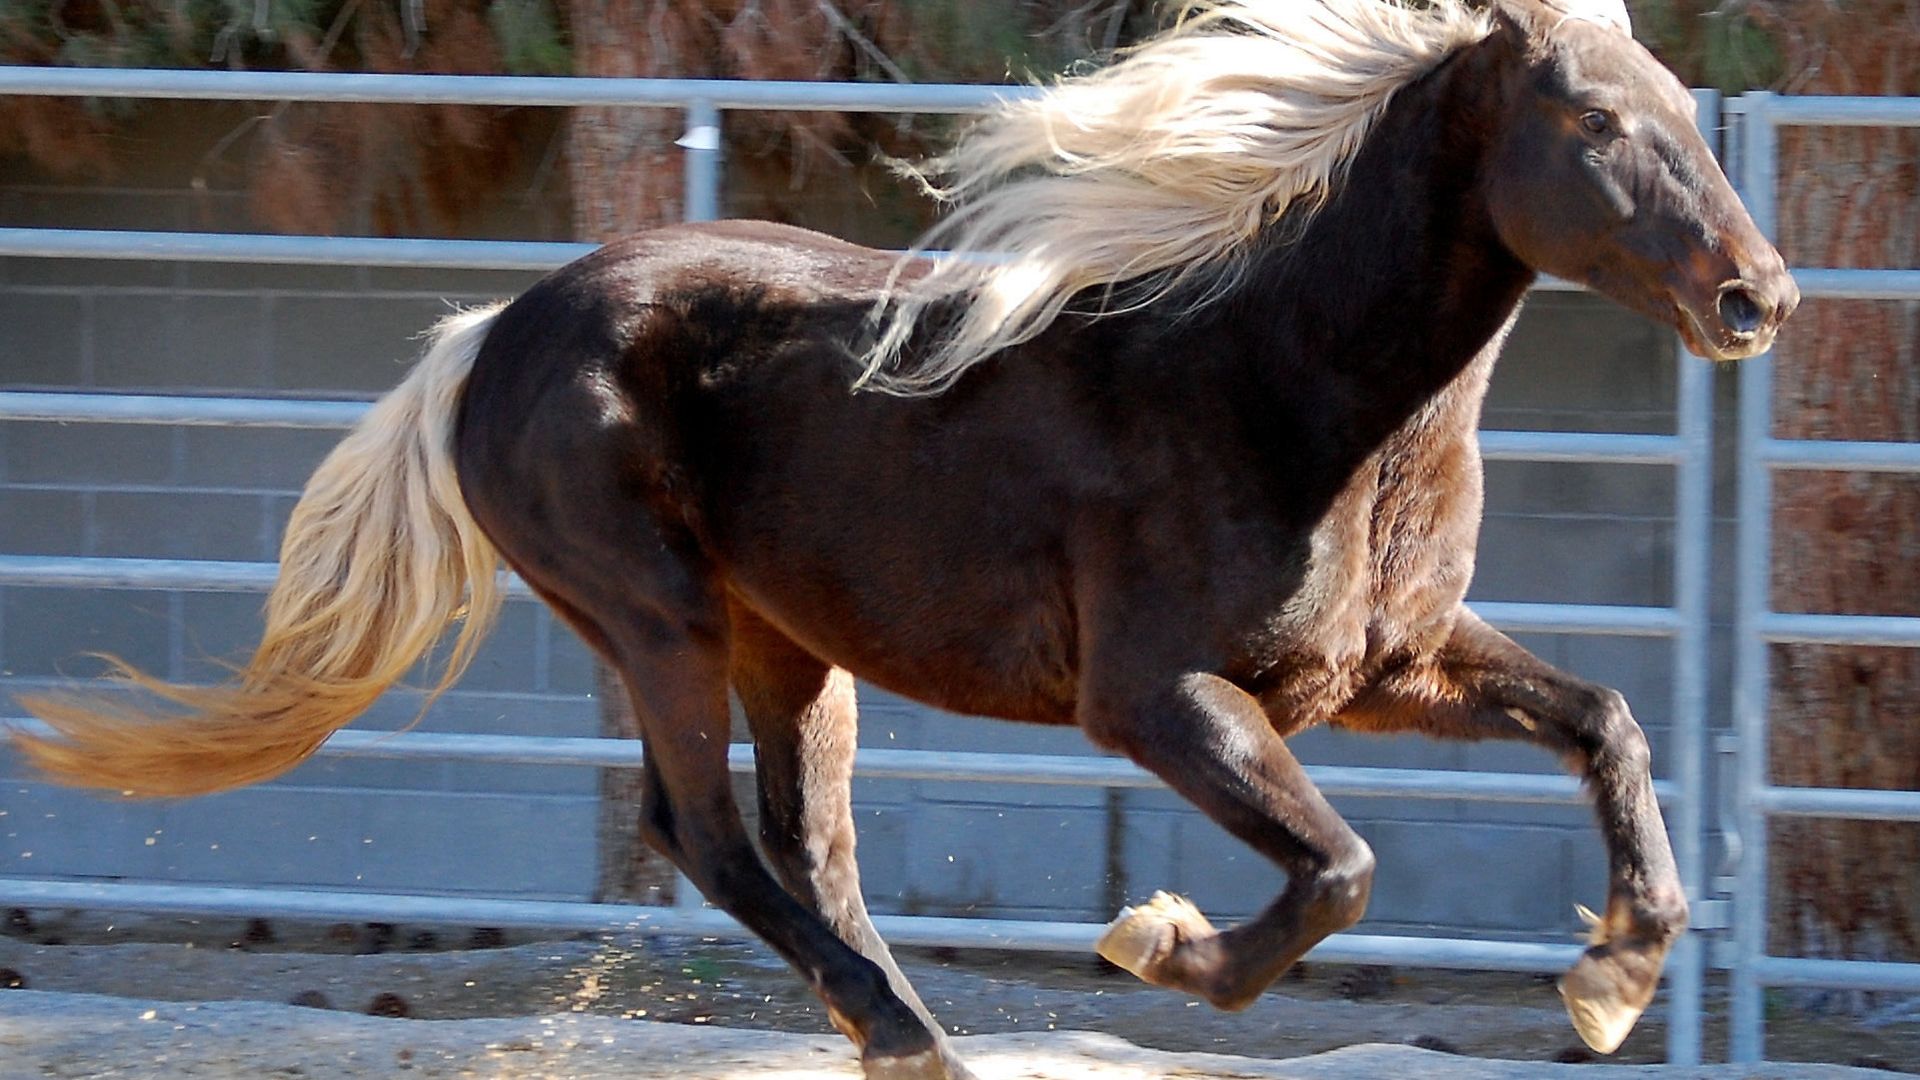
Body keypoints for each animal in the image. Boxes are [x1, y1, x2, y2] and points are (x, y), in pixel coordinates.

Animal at [13, 1, 1796, 1077]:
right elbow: (1343, 869)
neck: (1278, 378)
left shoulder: (1385, 670)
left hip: (789, 650)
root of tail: (485, 338)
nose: (1757, 297)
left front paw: (1614, 978)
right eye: (1592, 117)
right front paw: (1160, 947)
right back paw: (908, 1029)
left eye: (1677, 105)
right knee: (704, 835)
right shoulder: (1154, 698)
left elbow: (1607, 723)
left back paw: (899, 1031)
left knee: (808, 848)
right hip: (656, 620)